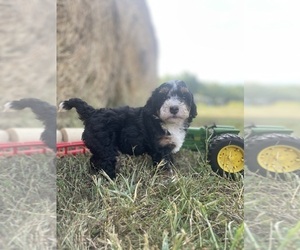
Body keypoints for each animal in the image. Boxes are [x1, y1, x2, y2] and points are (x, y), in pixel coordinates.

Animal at [59, 80, 198, 178]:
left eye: (184, 97)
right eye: (163, 97)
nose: (174, 108)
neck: (169, 123)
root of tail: (93, 113)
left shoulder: (167, 148)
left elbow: (170, 162)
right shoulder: (160, 150)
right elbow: (164, 166)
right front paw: (170, 180)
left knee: (94, 159)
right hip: (105, 146)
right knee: (105, 162)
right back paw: (112, 180)